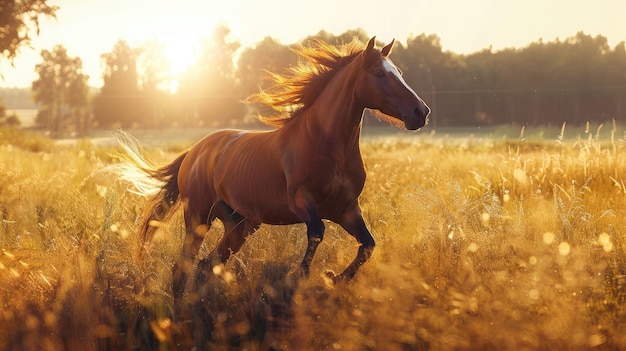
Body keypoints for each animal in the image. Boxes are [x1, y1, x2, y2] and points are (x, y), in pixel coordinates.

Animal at [117, 37, 428, 304]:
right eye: (379, 74)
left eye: (399, 72)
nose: (421, 112)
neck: (325, 142)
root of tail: (194, 152)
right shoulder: (301, 201)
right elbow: (317, 232)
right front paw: (299, 277)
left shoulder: (347, 209)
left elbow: (368, 246)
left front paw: (332, 278)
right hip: (198, 217)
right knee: (182, 266)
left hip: (241, 225)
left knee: (207, 264)